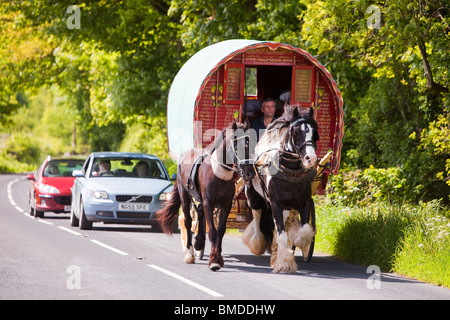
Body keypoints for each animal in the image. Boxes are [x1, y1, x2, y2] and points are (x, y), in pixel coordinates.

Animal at [156, 121, 255, 272]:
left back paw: (199, 242)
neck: (217, 174)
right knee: (187, 221)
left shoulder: (226, 205)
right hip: (185, 196)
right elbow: (212, 232)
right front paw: (214, 261)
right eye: (237, 147)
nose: (250, 173)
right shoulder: (209, 202)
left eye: (251, 145)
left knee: (200, 213)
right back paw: (190, 253)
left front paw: (218, 258)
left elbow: (220, 231)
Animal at [243, 106, 320, 274]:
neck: (290, 171)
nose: (310, 158)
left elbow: (304, 230)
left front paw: (297, 242)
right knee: (257, 217)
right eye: (296, 131)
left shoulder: (304, 203)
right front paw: (284, 263)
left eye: (314, 132)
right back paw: (258, 244)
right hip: (253, 196)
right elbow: (282, 235)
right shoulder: (276, 204)